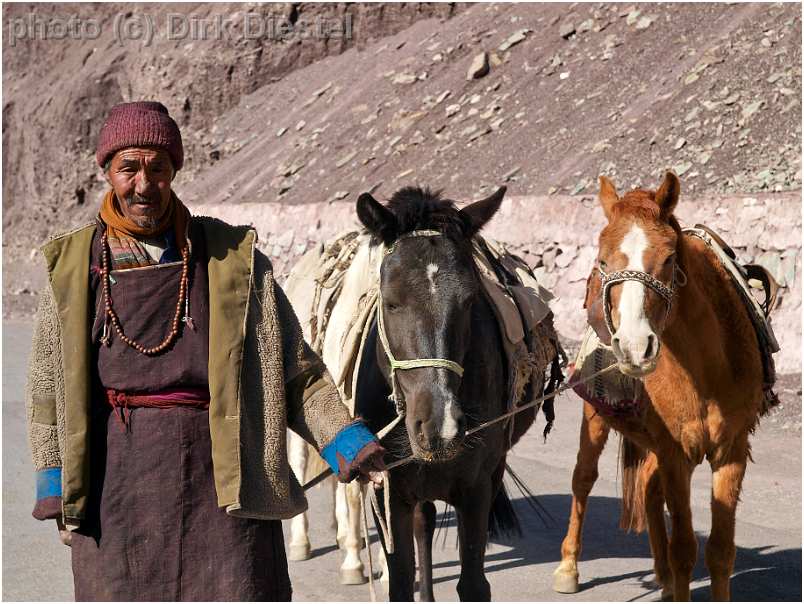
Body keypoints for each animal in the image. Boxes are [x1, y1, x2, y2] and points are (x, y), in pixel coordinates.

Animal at [354, 186, 532, 600]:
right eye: (391, 301)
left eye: (469, 301)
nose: (441, 427)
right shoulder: (387, 491)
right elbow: (400, 581)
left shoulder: (477, 488)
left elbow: (474, 585)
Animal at [552, 172, 768, 600]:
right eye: (603, 260)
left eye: (669, 258)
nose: (635, 347)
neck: (707, 370)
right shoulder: (675, 454)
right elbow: (684, 548)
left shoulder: (731, 450)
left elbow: (720, 550)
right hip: (595, 416)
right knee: (583, 478)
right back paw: (569, 567)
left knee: (649, 492)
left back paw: (662, 575)